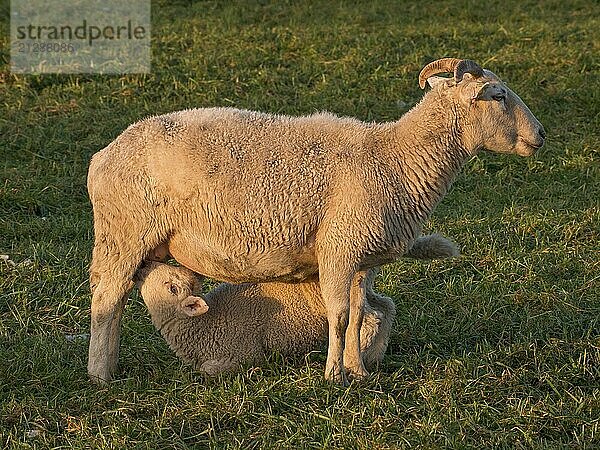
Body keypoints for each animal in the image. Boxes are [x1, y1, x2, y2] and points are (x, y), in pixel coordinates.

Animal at [134, 234, 458, 374]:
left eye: (172, 287)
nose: (142, 266)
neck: (204, 324)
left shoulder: (245, 353)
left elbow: (210, 370)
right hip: (365, 286)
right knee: (386, 306)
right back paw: (374, 356)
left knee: (370, 318)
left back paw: (357, 357)